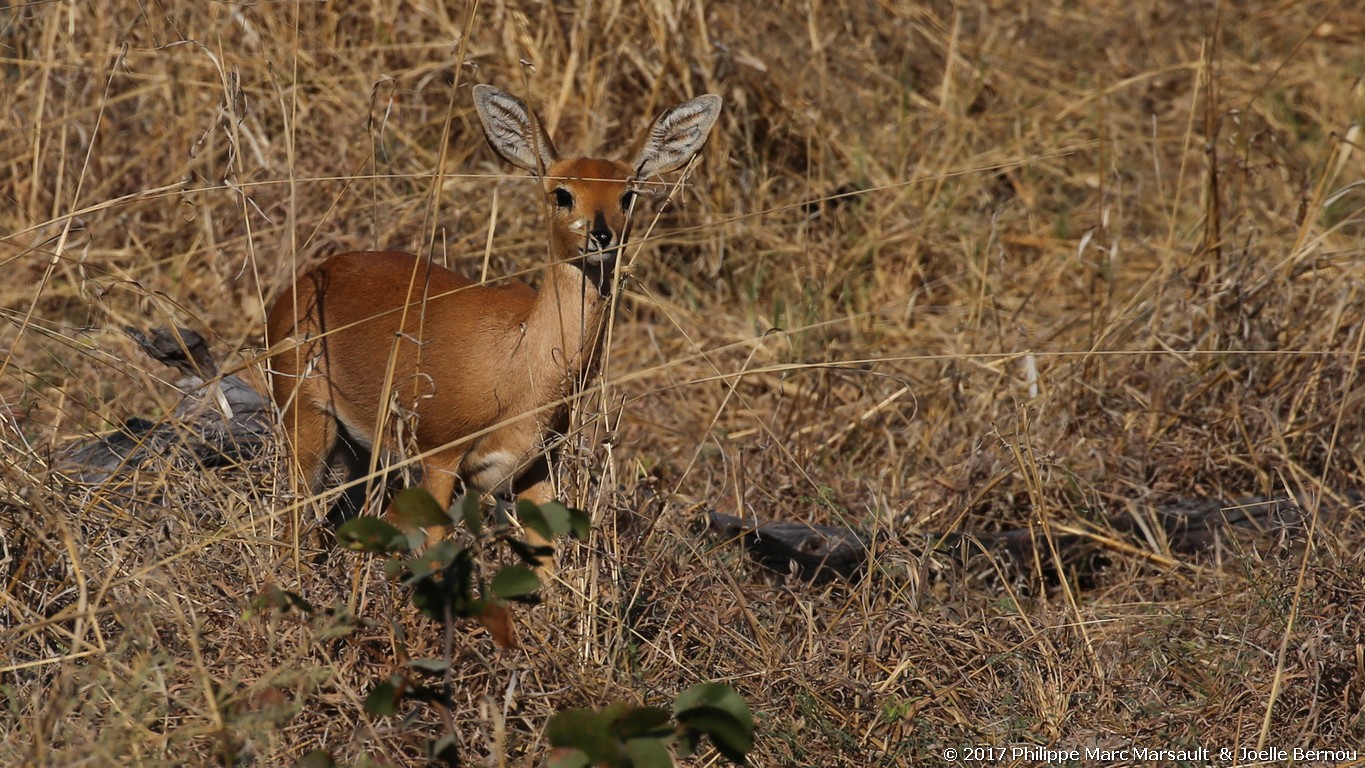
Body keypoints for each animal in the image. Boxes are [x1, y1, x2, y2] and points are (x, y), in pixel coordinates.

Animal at [260, 85, 720, 564]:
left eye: (628, 195)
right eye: (562, 193)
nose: (601, 236)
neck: (520, 364)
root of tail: (302, 283)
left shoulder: (537, 468)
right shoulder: (440, 457)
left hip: (360, 452)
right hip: (308, 424)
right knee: (299, 521)